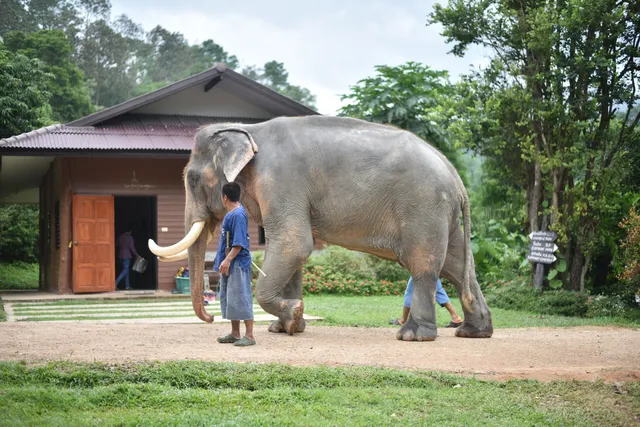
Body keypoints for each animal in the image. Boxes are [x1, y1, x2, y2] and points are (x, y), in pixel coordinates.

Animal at [148, 115, 493, 341]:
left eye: (192, 179)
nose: (209, 318)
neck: (248, 130)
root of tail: (456, 176)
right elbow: (293, 253)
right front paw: (285, 327)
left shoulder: (282, 180)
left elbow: (293, 243)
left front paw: (294, 315)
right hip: (441, 214)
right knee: (458, 265)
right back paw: (474, 332)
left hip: (423, 206)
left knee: (423, 266)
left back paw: (412, 336)